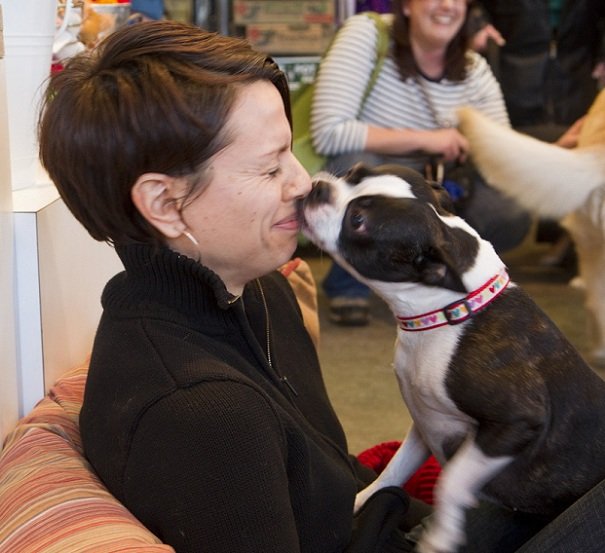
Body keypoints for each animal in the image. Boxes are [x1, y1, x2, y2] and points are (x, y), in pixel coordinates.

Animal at [302, 163, 605, 552]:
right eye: (354, 171)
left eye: (357, 221)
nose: (319, 189)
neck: (449, 310)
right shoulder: (422, 423)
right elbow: (393, 471)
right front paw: (361, 501)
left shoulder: (517, 420)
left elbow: (451, 482)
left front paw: (439, 537)